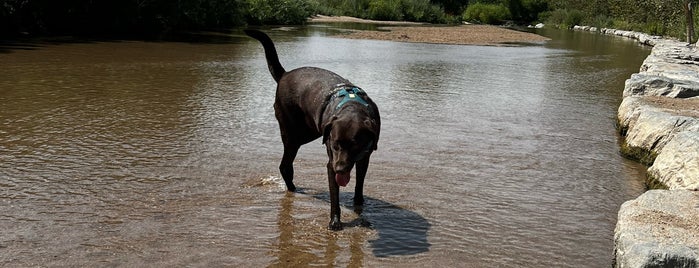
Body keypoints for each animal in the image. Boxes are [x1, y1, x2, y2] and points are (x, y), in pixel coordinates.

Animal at [243, 29, 380, 230]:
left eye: (355, 145)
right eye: (335, 145)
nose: (340, 169)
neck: (352, 106)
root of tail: (284, 75)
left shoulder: (365, 156)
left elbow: (359, 183)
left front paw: (359, 204)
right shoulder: (330, 162)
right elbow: (334, 196)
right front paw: (335, 221)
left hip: (313, 132)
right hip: (294, 135)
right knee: (284, 165)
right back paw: (293, 189)